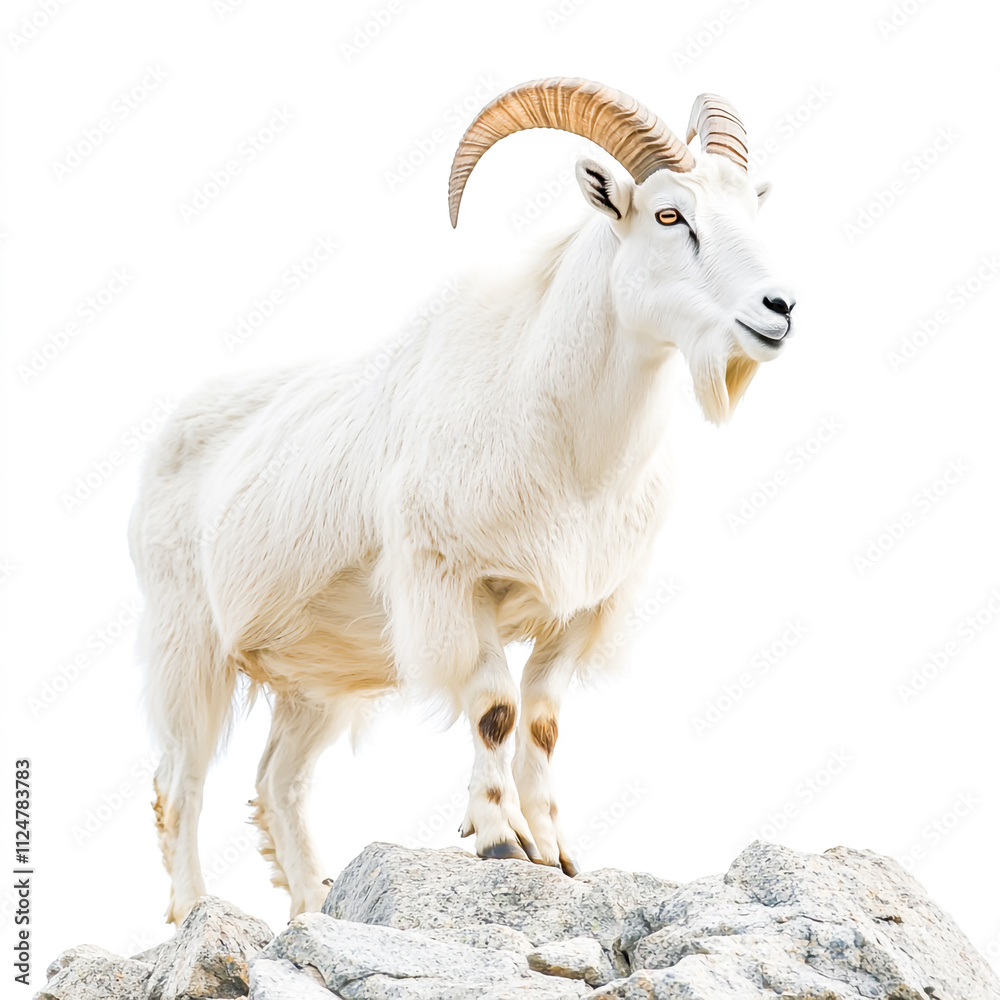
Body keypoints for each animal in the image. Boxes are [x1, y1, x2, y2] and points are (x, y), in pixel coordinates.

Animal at [129, 78, 796, 923]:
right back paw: (193, 911)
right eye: (670, 216)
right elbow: (494, 710)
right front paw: (498, 839)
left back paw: (313, 905)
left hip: (315, 679)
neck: (568, 448)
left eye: (751, 209)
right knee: (179, 782)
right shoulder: (453, 583)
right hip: (187, 646)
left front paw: (556, 852)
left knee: (278, 783)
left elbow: (540, 723)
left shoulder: (576, 613)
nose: (779, 308)